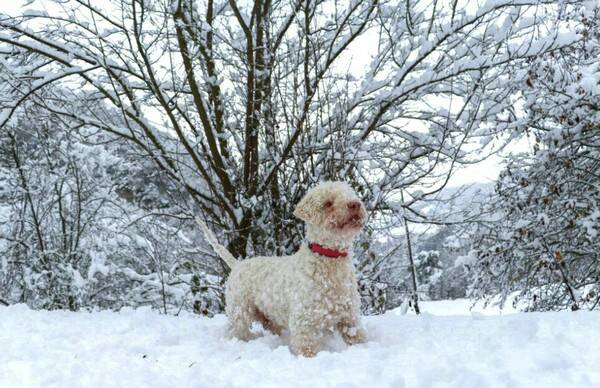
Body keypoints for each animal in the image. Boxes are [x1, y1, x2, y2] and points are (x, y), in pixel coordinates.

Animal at [198, 180, 366, 356]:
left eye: (350, 195)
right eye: (328, 203)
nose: (355, 204)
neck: (330, 259)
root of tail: (238, 264)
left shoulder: (350, 316)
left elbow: (356, 336)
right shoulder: (304, 321)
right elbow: (307, 348)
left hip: (268, 315)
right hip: (240, 310)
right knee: (235, 330)